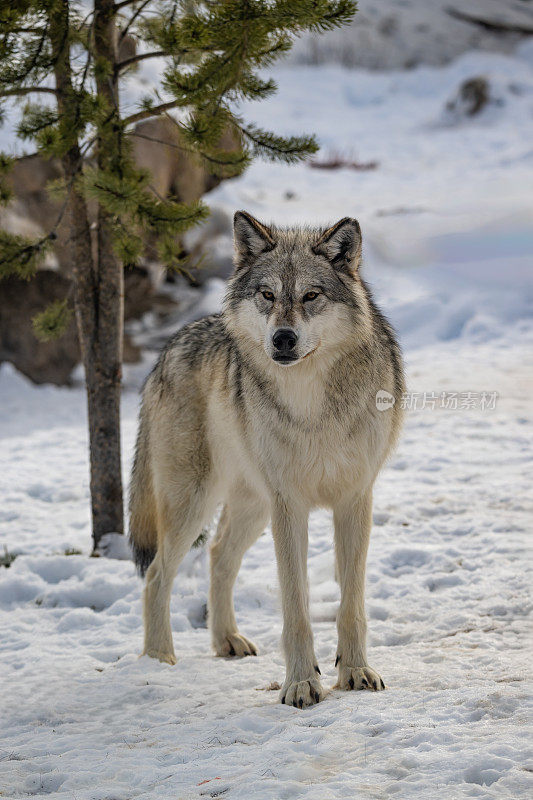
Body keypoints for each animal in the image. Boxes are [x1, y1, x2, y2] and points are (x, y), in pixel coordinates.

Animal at [129, 211, 404, 708]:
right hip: (195, 503)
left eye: (311, 295)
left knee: (218, 556)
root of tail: (168, 347)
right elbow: (296, 608)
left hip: (252, 506)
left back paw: (226, 641)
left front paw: (355, 672)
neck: (312, 404)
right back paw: (158, 659)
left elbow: (351, 603)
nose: (283, 339)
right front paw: (301, 684)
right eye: (268, 295)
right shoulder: (289, 505)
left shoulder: (355, 498)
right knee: (157, 573)